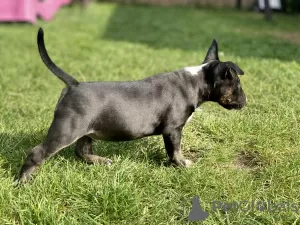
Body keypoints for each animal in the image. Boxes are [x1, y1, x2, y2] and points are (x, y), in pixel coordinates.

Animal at [17, 27, 246, 183]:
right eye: (237, 83)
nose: (245, 102)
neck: (197, 81)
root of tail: (74, 85)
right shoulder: (173, 129)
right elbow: (175, 150)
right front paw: (182, 164)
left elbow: (172, 150)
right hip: (66, 130)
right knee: (37, 153)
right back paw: (22, 181)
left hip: (84, 130)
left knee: (81, 150)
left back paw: (101, 161)